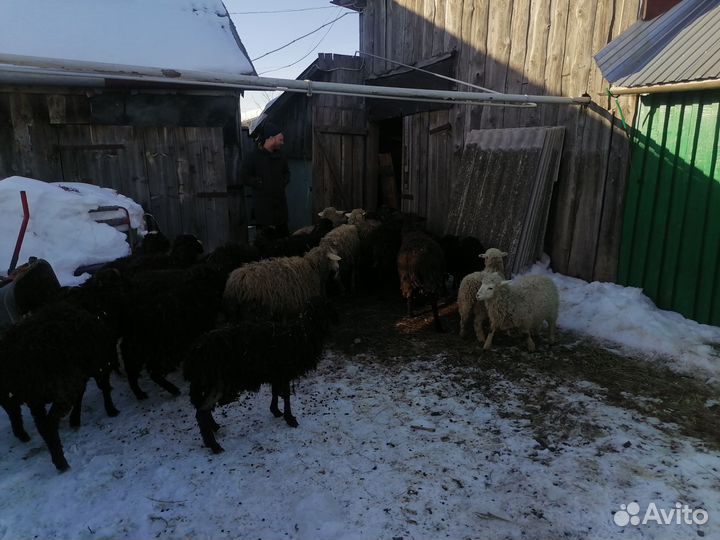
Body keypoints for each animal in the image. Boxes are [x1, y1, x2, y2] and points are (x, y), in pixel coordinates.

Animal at [0, 301, 119, 471]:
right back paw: (62, 463)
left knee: (33, 421)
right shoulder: (98, 366)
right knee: (49, 425)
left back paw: (26, 437)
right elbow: (104, 388)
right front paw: (111, 410)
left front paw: (75, 419)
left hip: (33, 397)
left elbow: (82, 394)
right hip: (58, 388)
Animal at [184, 297, 335, 453]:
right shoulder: (283, 372)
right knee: (201, 412)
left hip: (209, 383)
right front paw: (290, 419)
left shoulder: (276, 374)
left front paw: (276, 411)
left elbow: (275, 391)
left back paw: (214, 428)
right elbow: (286, 395)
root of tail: (192, 355)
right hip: (217, 382)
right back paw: (214, 445)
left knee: (204, 409)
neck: (302, 335)